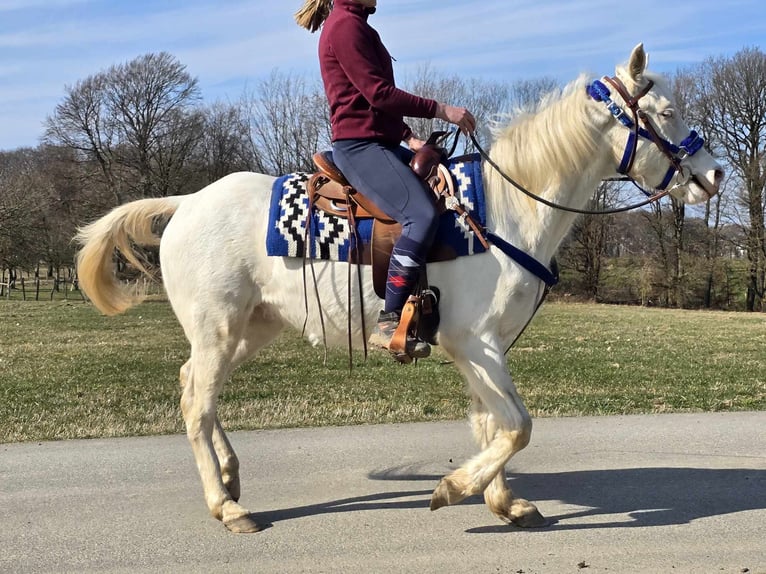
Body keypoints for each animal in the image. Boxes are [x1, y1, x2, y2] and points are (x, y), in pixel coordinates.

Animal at [73, 45, 728, 536]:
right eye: (667, 111)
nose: (715, 175)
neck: (506, 210)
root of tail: (186, 202)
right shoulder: (474, 343)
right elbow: (517, 425)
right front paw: (454, 488)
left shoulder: (484, 348)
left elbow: (493, 423)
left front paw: (504, 503)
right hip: (218, 329)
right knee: (196, 403)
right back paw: (226, 505)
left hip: (249, 329)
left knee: (197, 391)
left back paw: (231, 476)